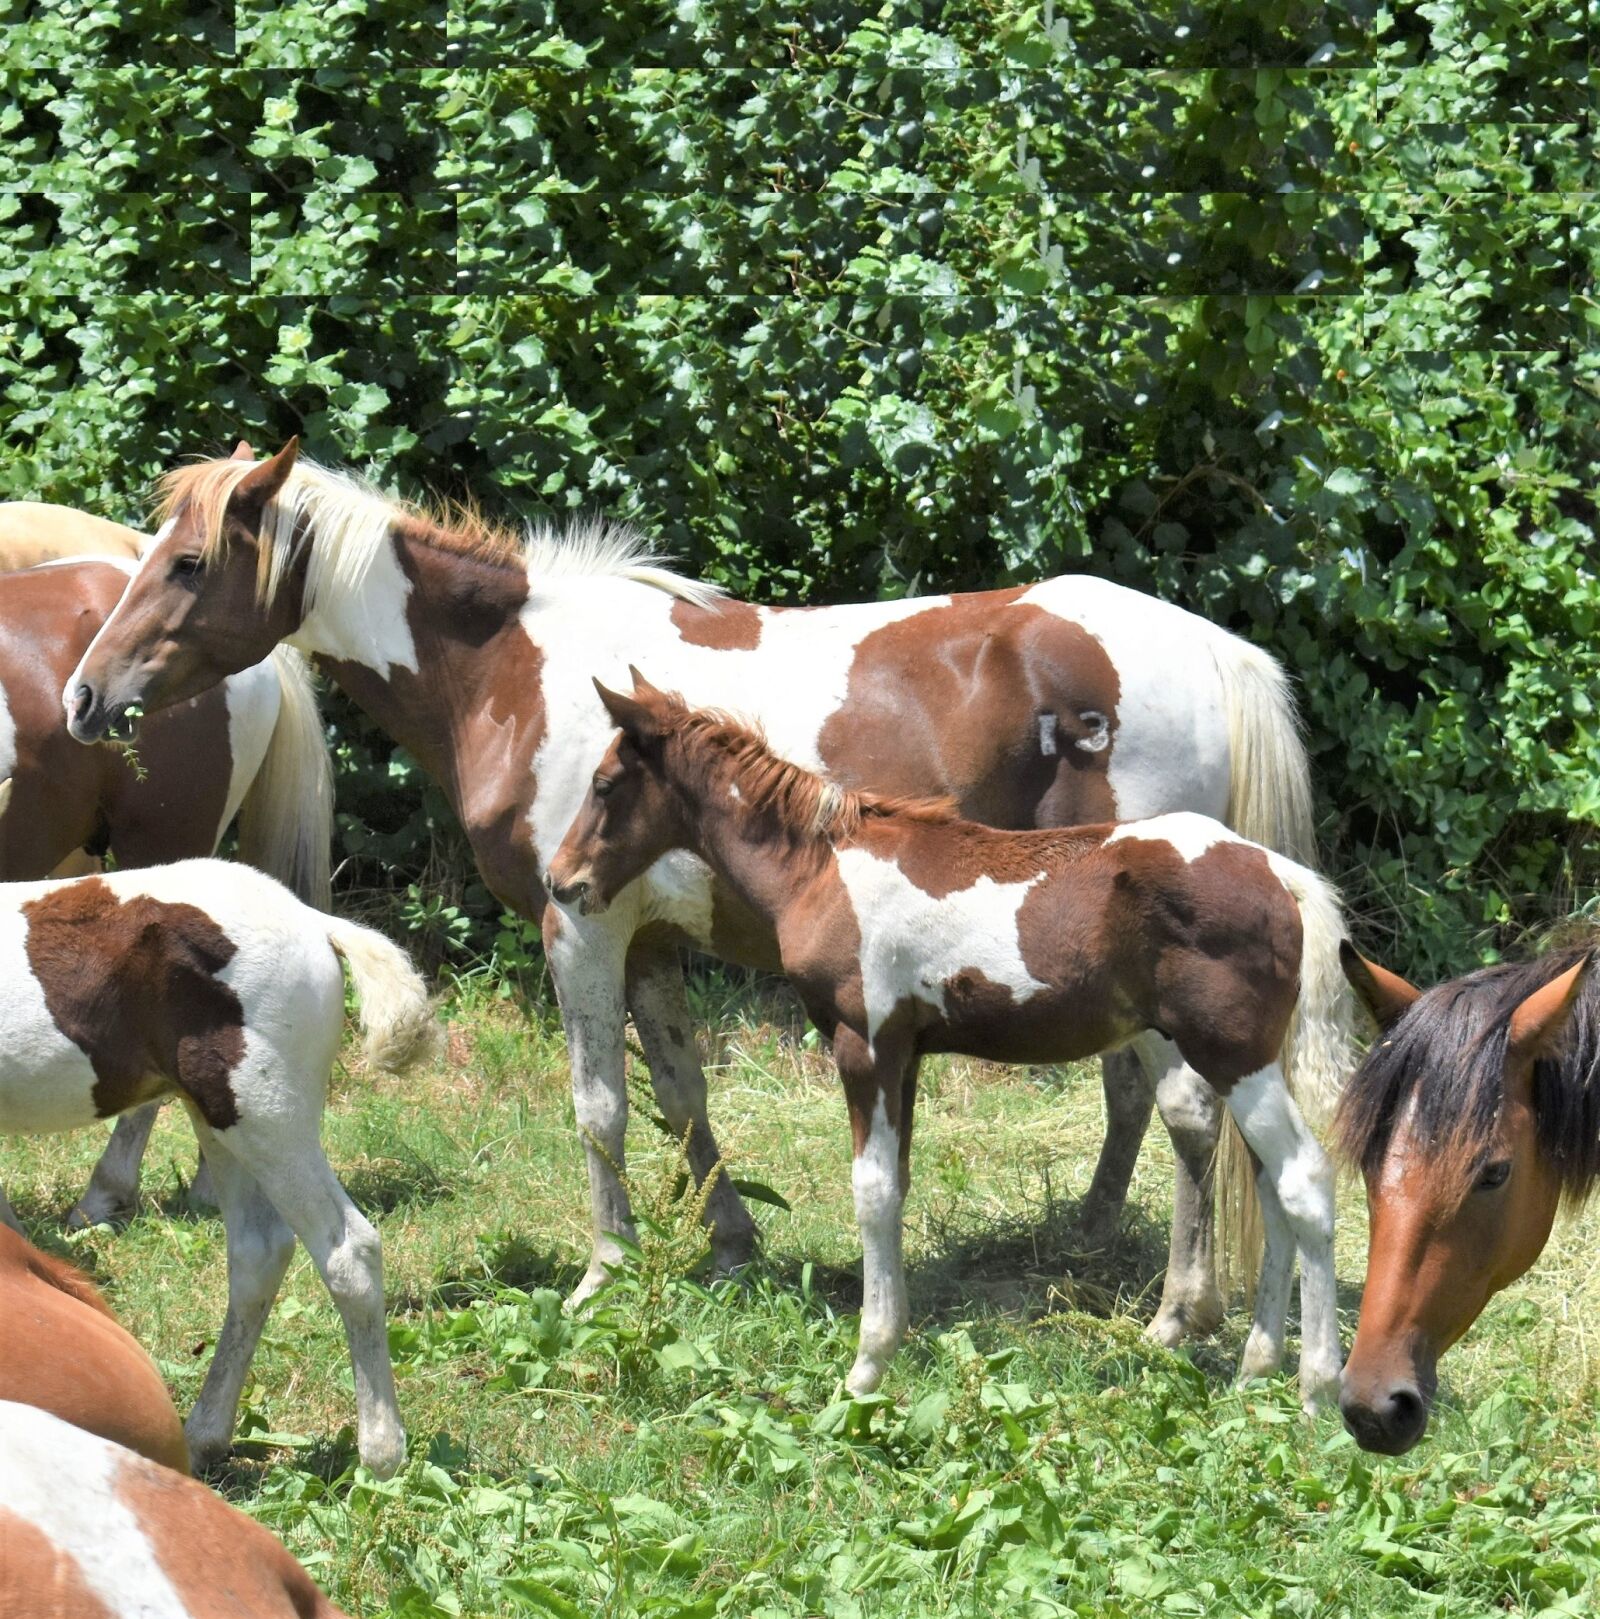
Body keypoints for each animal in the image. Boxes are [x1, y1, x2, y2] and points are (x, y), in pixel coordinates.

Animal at [546, 671, 1349, 1407]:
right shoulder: (905, 1054)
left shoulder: (864, 1044)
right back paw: (1255, 1368)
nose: (561, 881)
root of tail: (1279, 874)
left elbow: (870, 1192)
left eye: (605, 784)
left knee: (1304, 1178)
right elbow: (895, 1185)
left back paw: (1316, 1387)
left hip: (1234, 1057)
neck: (823, 868)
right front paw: (889, 1346)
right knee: (1272, 1188)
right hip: (1246, 1064)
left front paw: (865, 1364)